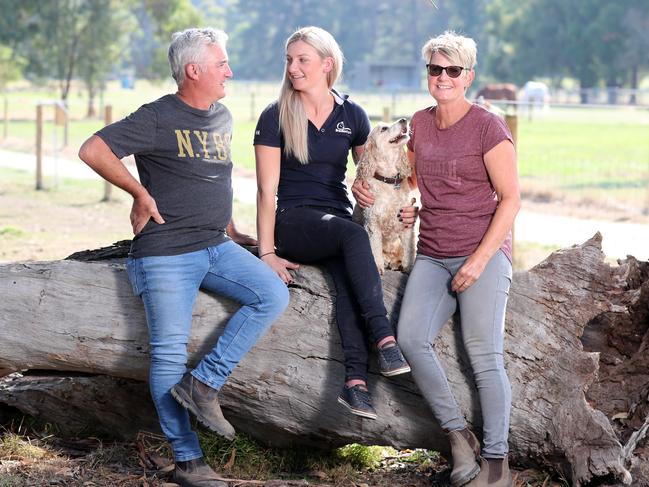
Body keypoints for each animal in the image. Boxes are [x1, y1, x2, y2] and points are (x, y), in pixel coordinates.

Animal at [354, 117, 416, 272]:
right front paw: (377, 265)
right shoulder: (372, 223)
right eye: (383, 129)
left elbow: (409, 249)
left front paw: (408, 267)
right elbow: (375, 248)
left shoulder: (406, 221)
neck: (389, 180)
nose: (404, 119)